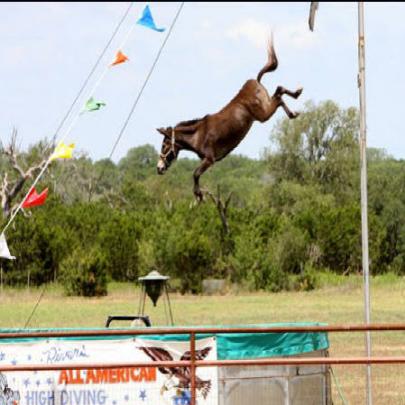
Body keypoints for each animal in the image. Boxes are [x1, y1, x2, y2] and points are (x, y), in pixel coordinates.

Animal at [156, 37, 302, 200]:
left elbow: (195, 174)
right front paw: (199, 195)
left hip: (263, 114)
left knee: (279, 94)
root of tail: (255, 81)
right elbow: (196, 174)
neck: (199, 134)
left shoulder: (210, 159)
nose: (159, 168)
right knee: (279, 92)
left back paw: (296, 99)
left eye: (164, 145)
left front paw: (199, 194)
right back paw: (294, 108)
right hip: (265, 108)